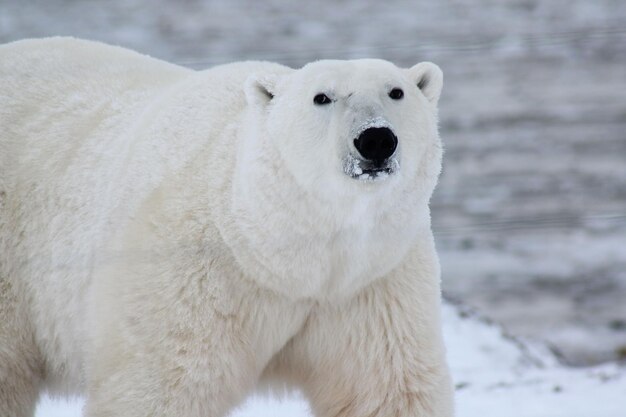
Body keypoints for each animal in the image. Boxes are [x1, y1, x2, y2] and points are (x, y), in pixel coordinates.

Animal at [0, 38, 448, 416]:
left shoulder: (372, 284)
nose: (376, 139)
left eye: (396, 91)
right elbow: (162, 385)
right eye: (322, 97)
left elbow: (386, 388)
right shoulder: (191, 275)